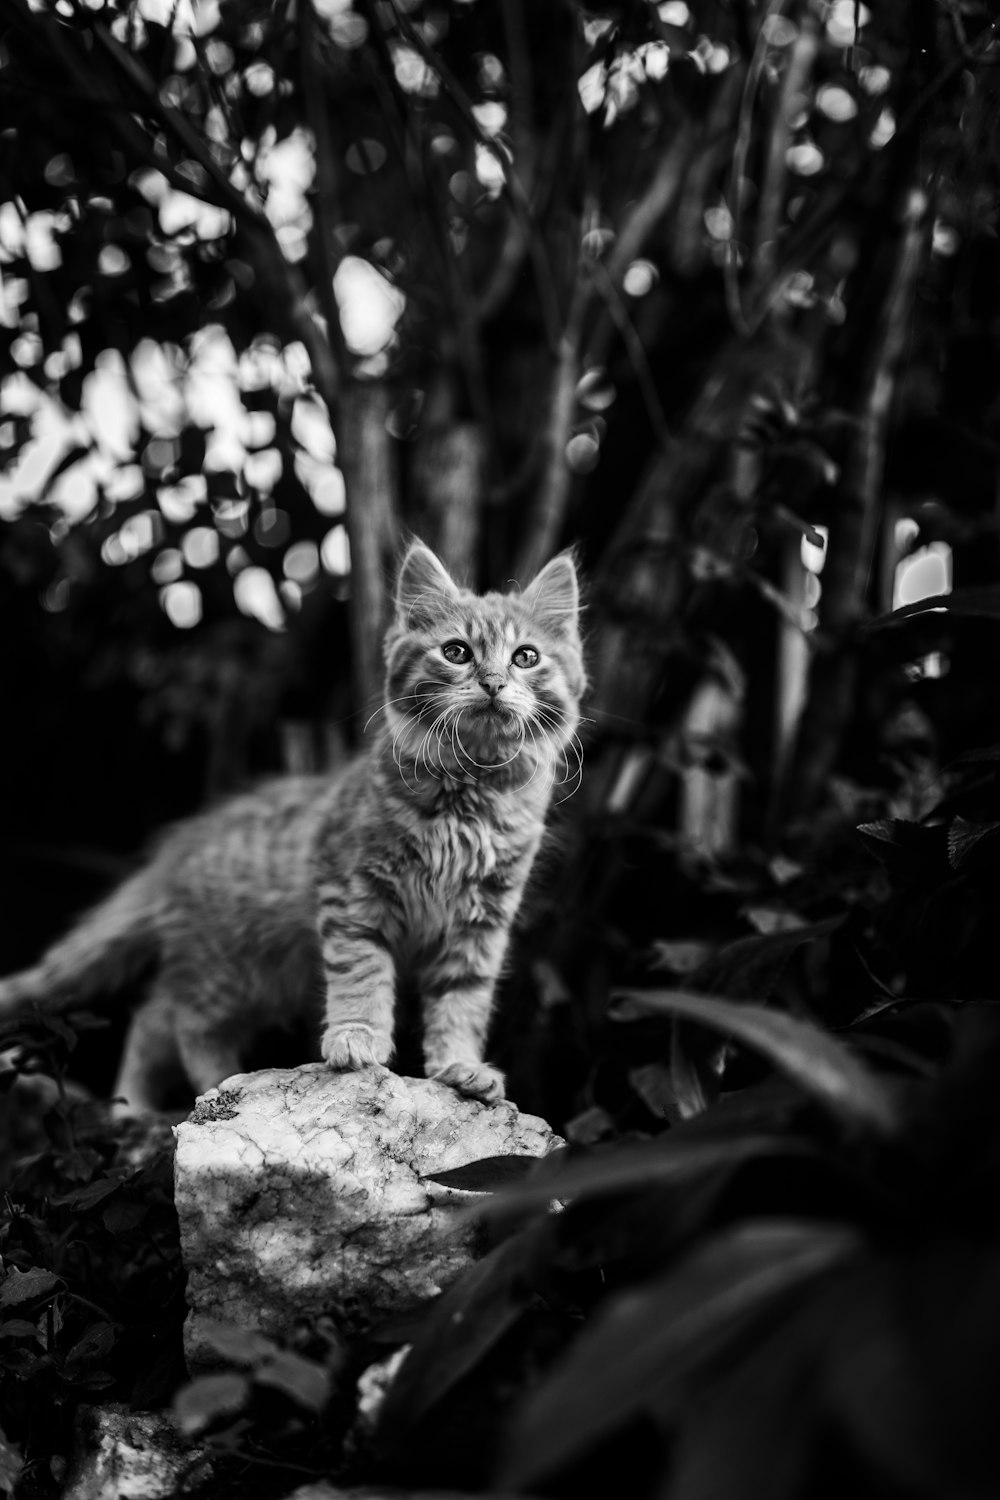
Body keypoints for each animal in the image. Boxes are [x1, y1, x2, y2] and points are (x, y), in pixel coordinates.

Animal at [0, 543, 587, 1116]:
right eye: (457, 652)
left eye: (525, 657)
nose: (494, 683)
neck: (468, 795)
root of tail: (183, 843)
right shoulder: (354, 897)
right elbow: (362, 975)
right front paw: (356, 1037)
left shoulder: (481, 926)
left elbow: (462, 1003)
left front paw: (459, 1068)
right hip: (231, 970)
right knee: (176, 1021)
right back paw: (200, 1094)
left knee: (156, 1016)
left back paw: (142, 1107)